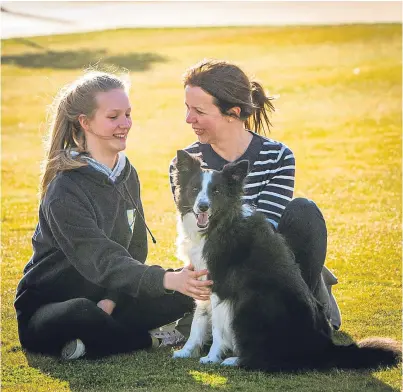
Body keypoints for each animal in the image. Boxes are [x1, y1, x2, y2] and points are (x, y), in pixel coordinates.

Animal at [172, 149, 402, 370]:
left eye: (216, 191)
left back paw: (236, 360)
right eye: (195, 189)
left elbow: (217, 329)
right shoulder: (202, 280)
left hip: (251, 304)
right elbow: (198, 321)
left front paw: (211, 358)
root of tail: (324, 348)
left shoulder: (222, 288)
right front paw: (186, 351)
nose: (203, 207)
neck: (219, 225)